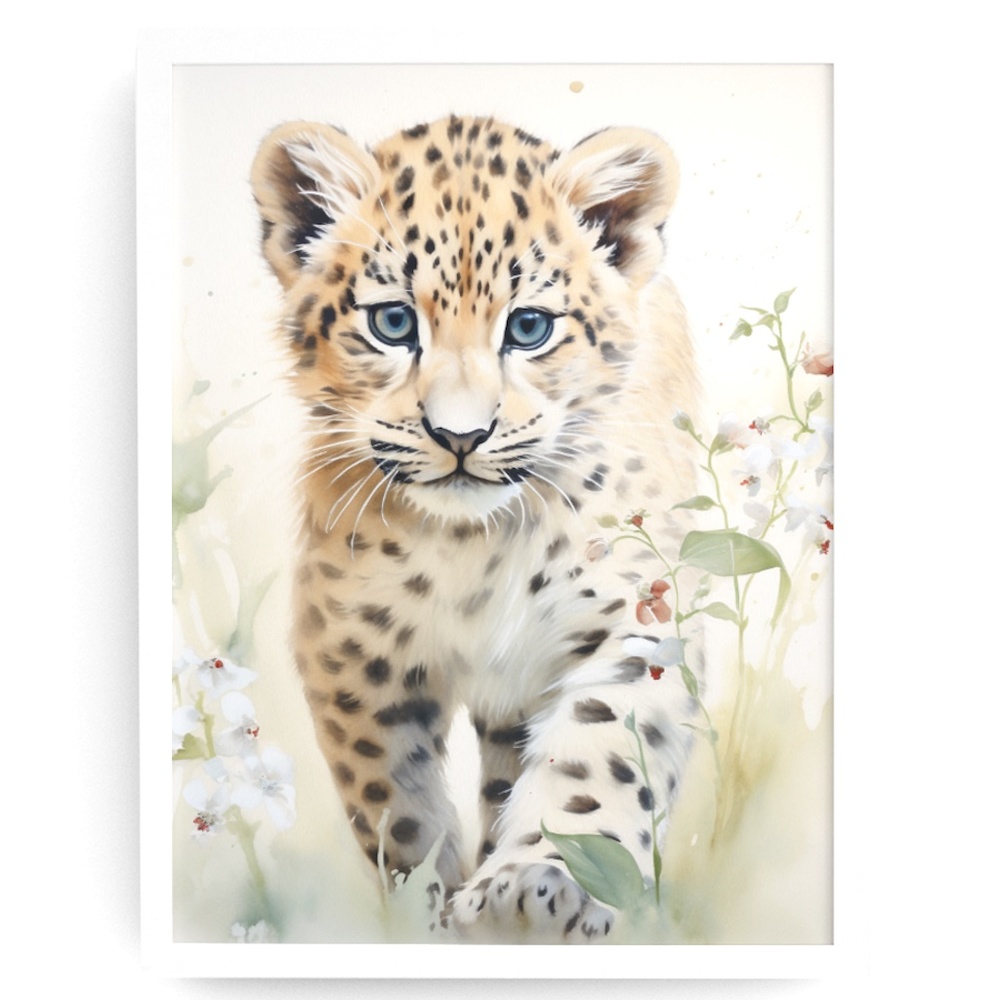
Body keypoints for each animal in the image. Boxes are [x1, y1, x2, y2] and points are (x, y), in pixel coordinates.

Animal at [250, 113, 704, 942]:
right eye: (393, 321)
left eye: (528, 328)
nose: (459, 435)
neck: (475, 551)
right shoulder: (353, 647)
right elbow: (394, 805)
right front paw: (426, 907)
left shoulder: (636, 616)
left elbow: (599, 755)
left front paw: (539, 887)